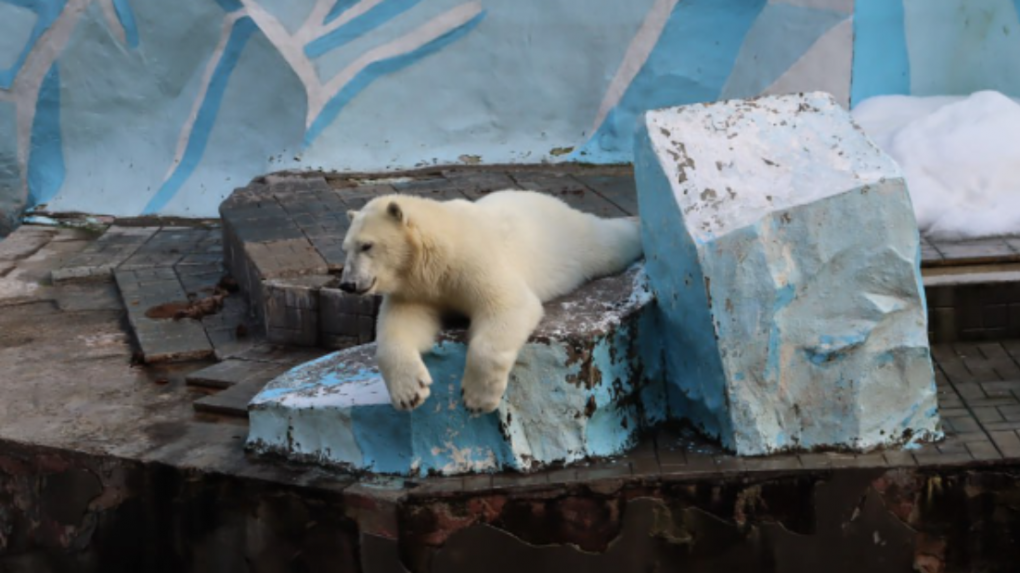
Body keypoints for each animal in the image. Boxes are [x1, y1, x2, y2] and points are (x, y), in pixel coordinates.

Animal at [342, 189, 644, 411]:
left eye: (367, 245)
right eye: (346, 248)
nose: (347, 284)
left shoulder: (471, 262)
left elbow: (507, 304)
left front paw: (477, 398)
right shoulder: (417, 289)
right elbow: (400, 323)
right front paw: (410, 393)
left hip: (570, 240)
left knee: (606, 243)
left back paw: (635, 228)